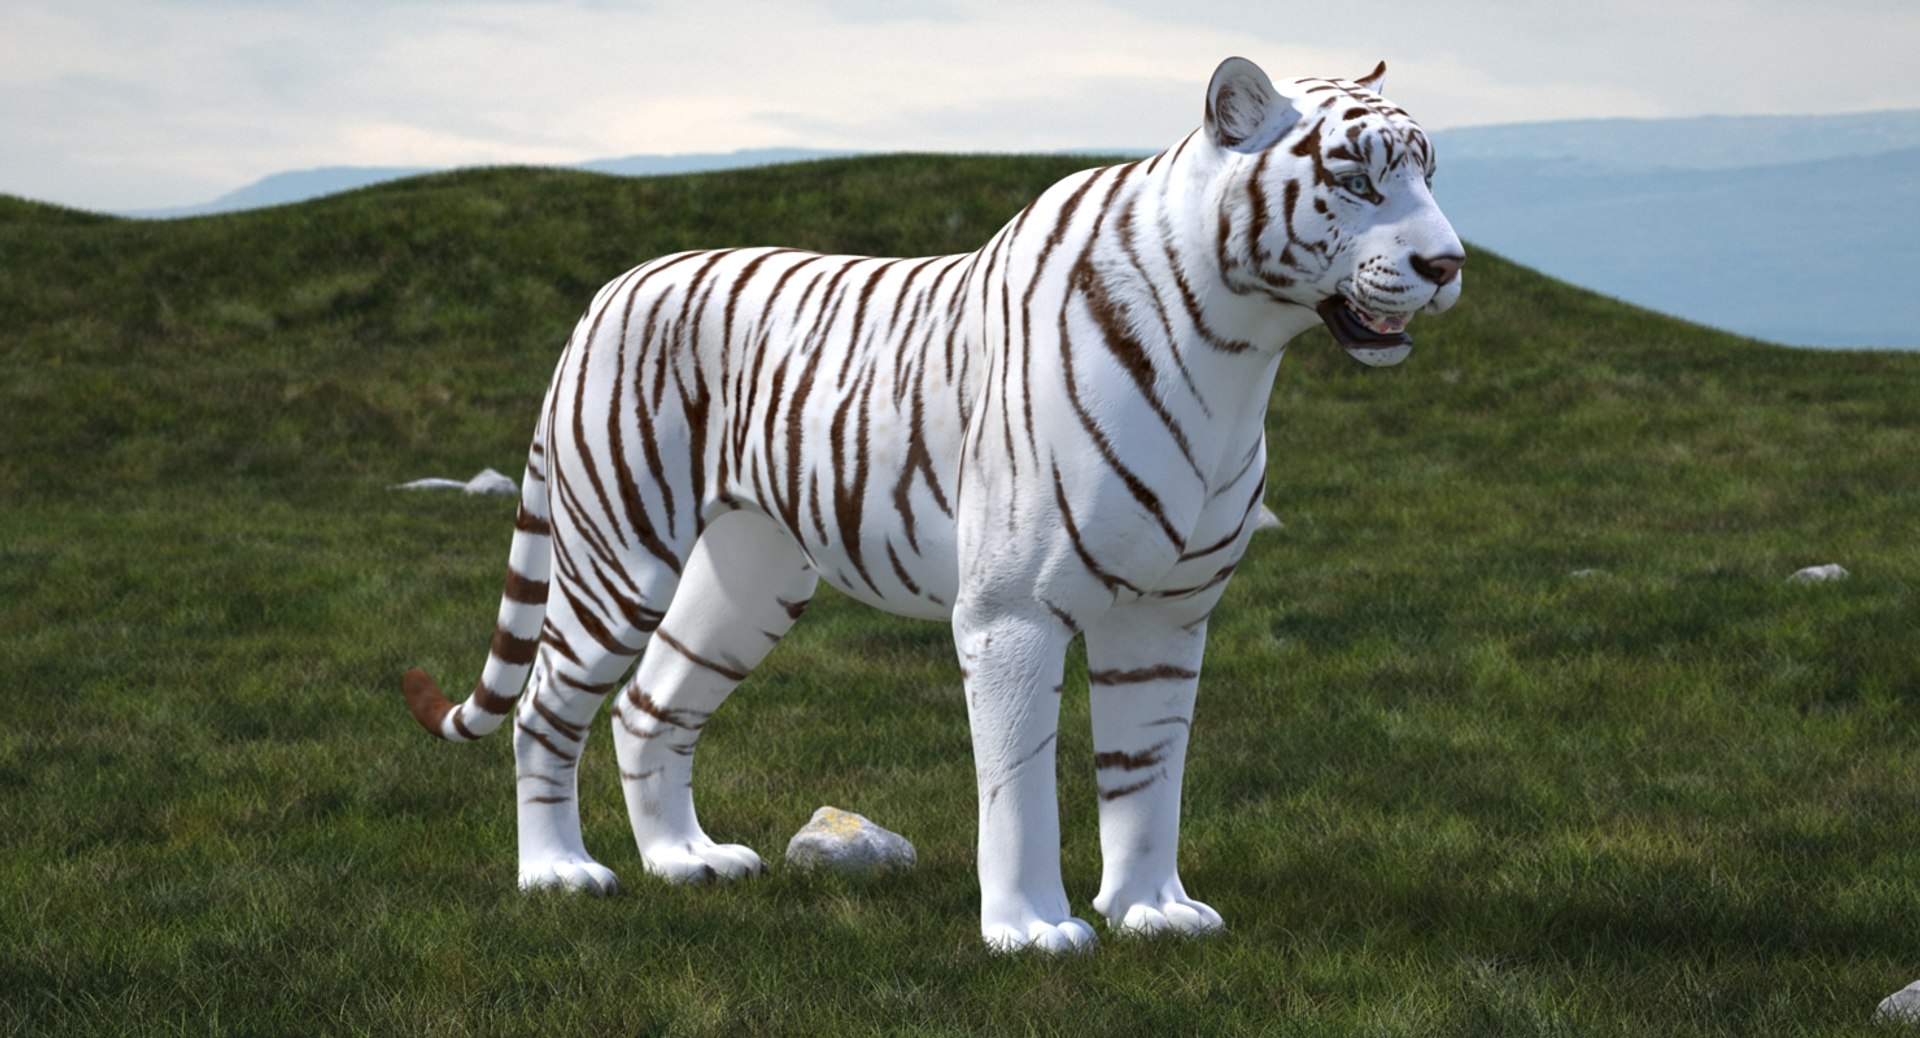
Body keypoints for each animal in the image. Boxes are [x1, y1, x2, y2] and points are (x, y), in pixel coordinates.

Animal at [403, 55, 1464, 953]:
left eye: (1427, 175)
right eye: (1358, 181)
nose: (1448, 265)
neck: (1239, 352)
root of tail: (608, 290)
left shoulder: (1168, 612)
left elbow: (1147, 772)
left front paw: (1151, 912)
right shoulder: (1013, 613)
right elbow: (1021, 783)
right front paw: (1032, 931)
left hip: (748, 580)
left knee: (649, 703)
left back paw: (686, 862)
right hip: (618, 555)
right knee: (547, 704)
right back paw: (559, 874)